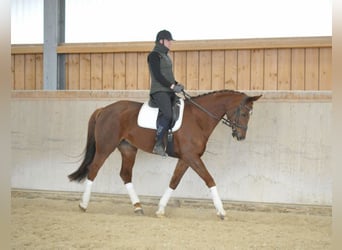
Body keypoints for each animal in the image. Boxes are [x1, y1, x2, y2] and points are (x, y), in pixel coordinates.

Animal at [69, 90, 262, 219]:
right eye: (244, 113)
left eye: (251, 114)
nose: (241, 137)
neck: (198, 118)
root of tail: (104, 109)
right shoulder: (192, 157)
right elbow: (209, 179)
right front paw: (221, 211)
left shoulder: (186, 158)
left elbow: (174, 181)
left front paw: (160, 209)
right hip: (105, 147)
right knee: (94, 169)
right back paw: (83, 204)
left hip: (128, 149)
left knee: (125, 175)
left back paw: (138, 207)